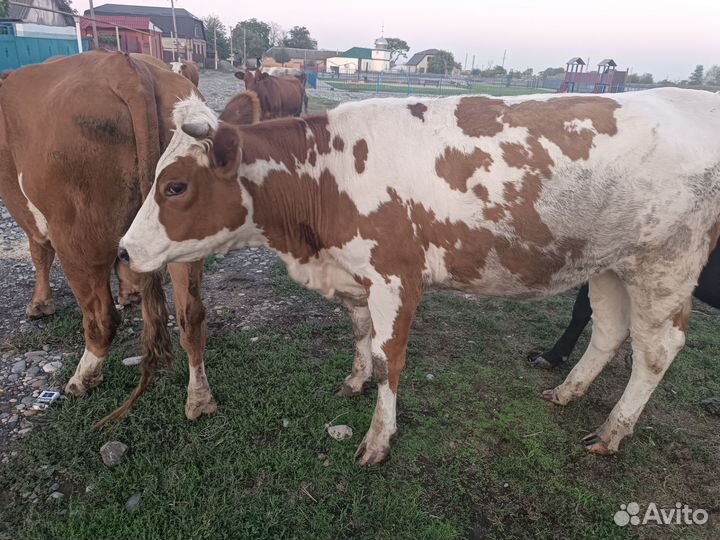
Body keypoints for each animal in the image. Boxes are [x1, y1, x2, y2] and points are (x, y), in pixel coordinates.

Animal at [0, 51, 259, 422]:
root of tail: (124, 67)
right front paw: (132, 291)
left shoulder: (20, 201)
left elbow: (39, 251)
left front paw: (39, 305)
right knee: (192, 316)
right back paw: (199, 400)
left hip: (78, 231)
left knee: (102, 317)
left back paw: (83, 378)